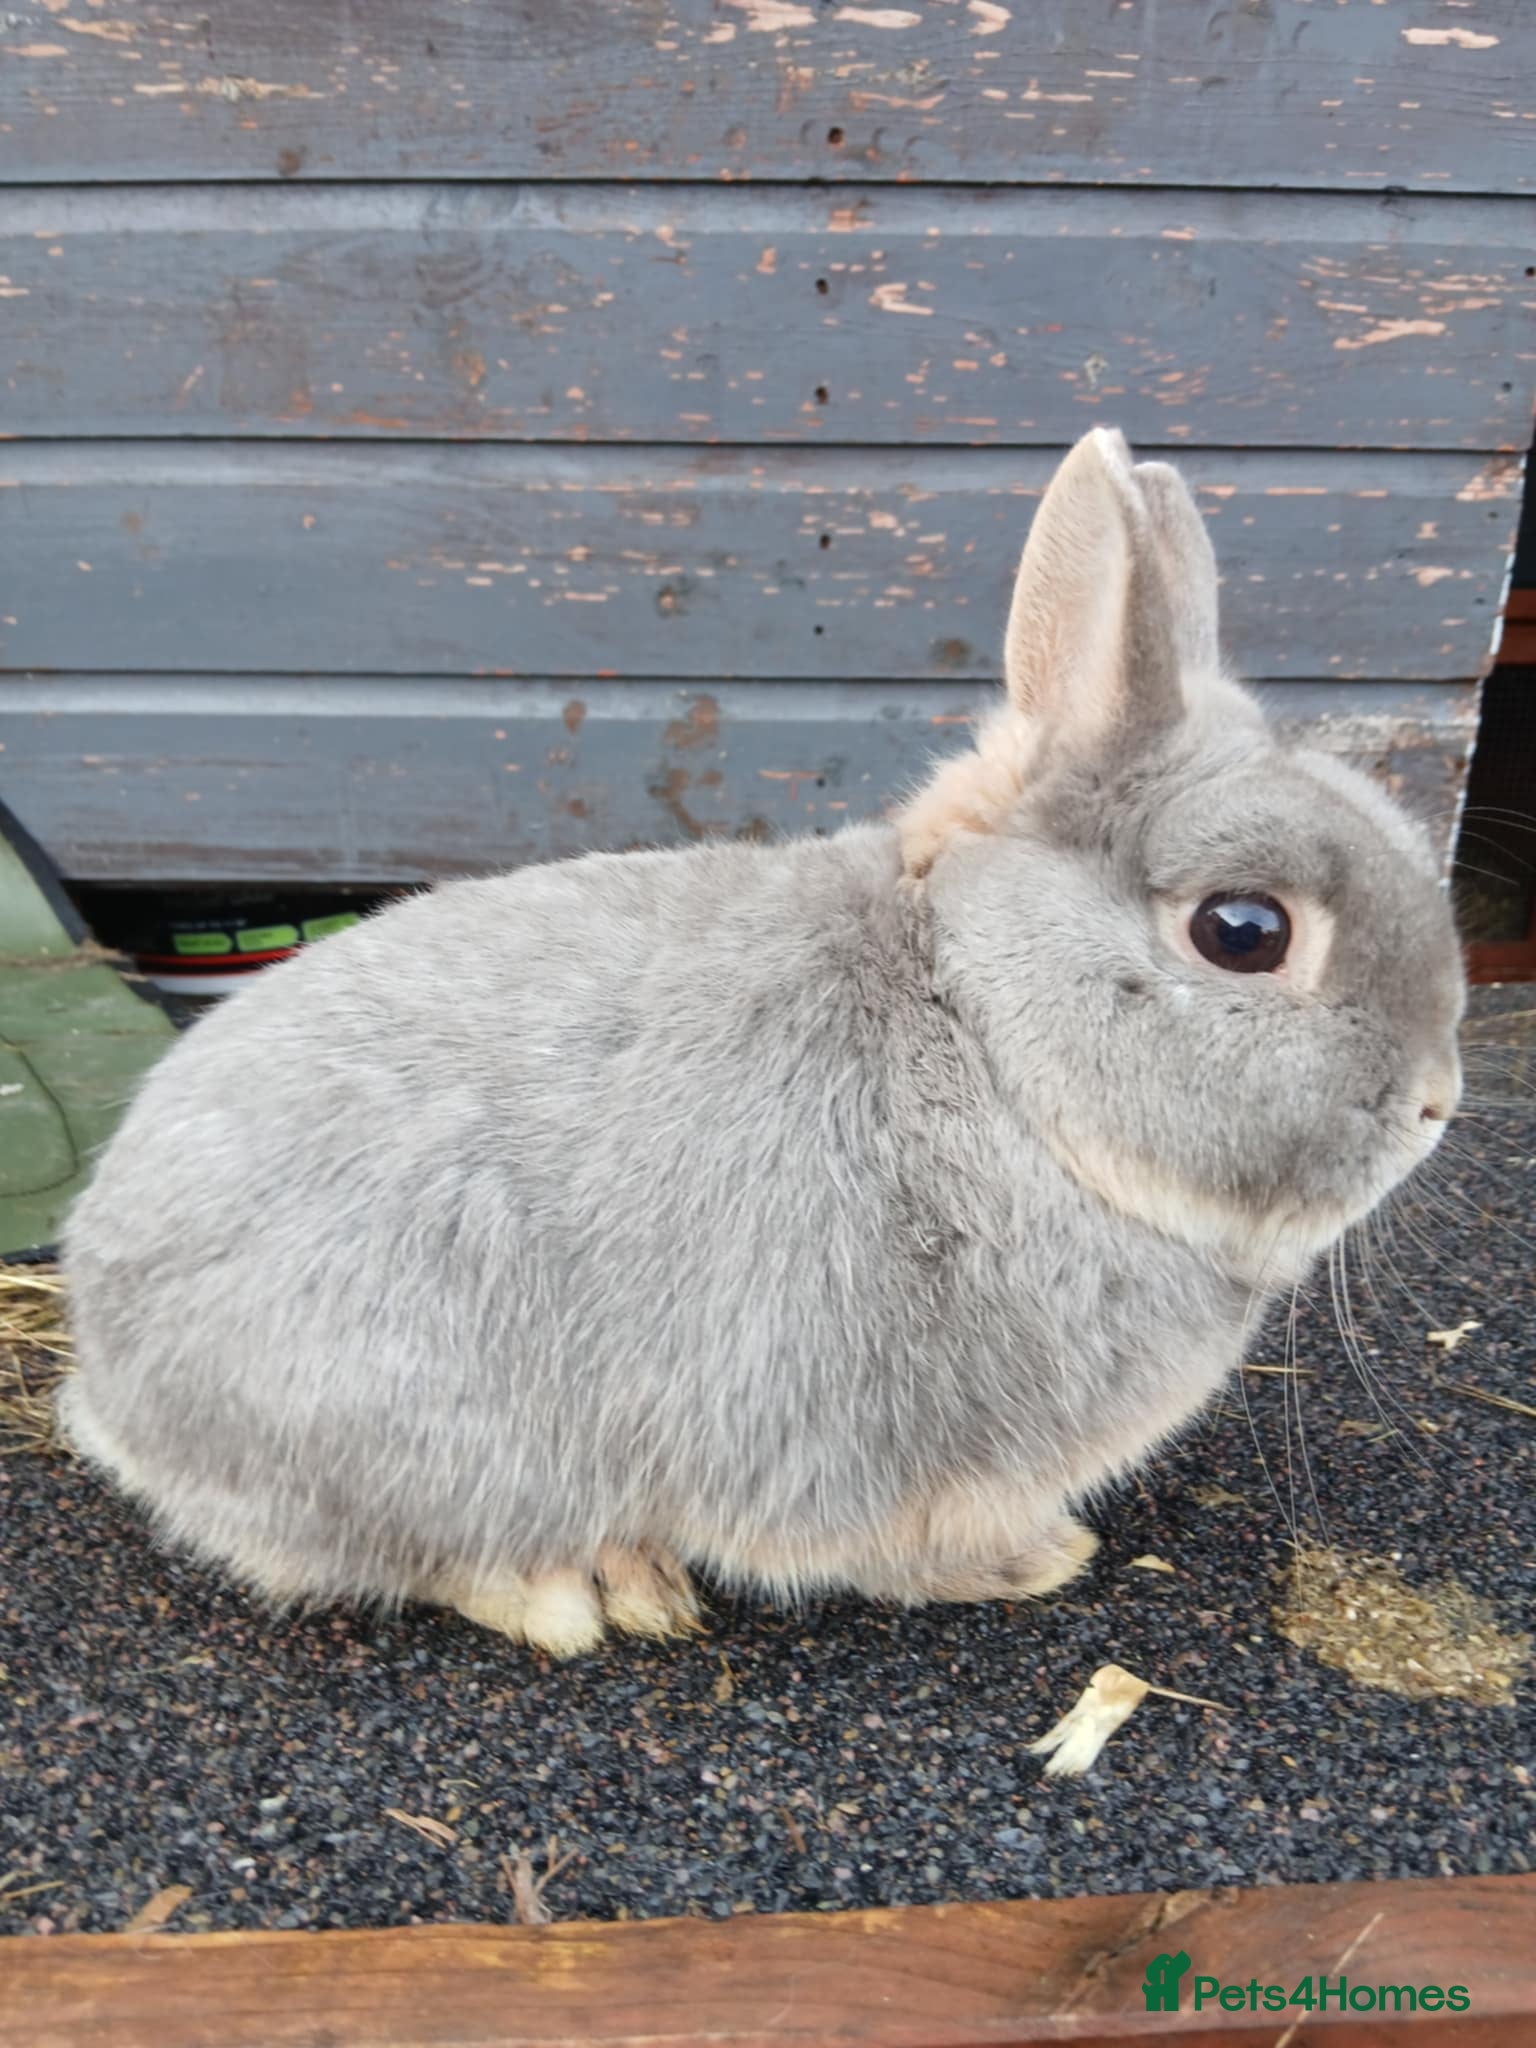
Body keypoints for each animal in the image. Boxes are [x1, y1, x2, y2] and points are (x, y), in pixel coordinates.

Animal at [59, 428, 1464, 1658]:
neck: (990, 1046)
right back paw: (591, 1593)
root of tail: (107, 1370)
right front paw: (1040, 1558)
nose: (1437, 1101)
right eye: (1244, 930)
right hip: (429, 1427)